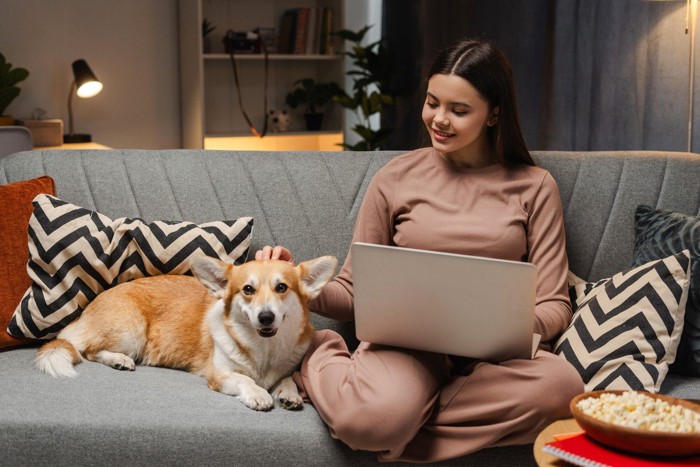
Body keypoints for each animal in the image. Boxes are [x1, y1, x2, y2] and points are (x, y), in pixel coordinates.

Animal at [34, 256, 338, 414]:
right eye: (248, 290)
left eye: (282, 287)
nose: (266, 317)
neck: (263, 349)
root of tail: (85, 312)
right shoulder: (221, 375)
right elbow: (245, 380)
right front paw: (258, 394)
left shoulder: (284, 368)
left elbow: (286, 379)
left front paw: (289, 394)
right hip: (132, 330)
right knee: (88, 349)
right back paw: (119, 360)